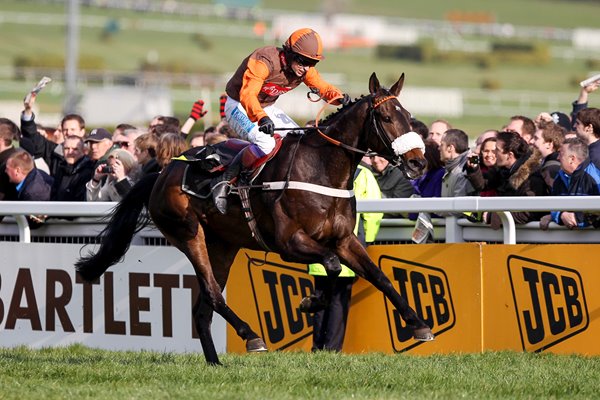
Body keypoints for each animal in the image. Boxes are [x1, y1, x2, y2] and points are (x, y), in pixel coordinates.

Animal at [77, 72, 436, 366]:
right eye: (387, 117)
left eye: (409, 117)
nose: (418, 163)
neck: (321, 169)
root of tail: (163, 172)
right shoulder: (289, 243)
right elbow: (331, 266)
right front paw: (310, 302)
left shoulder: (344, 240)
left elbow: (378, 276)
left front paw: (419, 325)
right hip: (189, 234)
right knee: (212, 293)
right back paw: (251, 336)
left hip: (223, 245)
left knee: (203, 307)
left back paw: (215, 364)